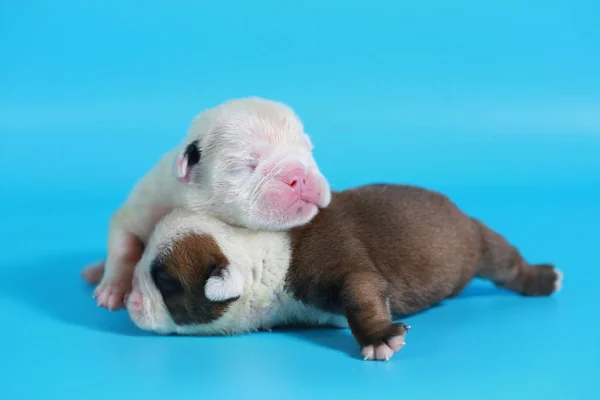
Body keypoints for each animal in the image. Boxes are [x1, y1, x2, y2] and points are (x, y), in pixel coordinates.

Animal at [81, 96, 330, 310]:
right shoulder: (143, 206)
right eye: (248, 165)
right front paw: (113, 289)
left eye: (309, 150)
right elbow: (123, 246)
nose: (300, 176)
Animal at [125, 184, 564, 362]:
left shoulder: (339, 266)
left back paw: (543, 278)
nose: (128, 303)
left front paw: (379, 337)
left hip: (480, 243)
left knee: (508, 264)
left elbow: (360, 296)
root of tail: (455, 207)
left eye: (166, 282)